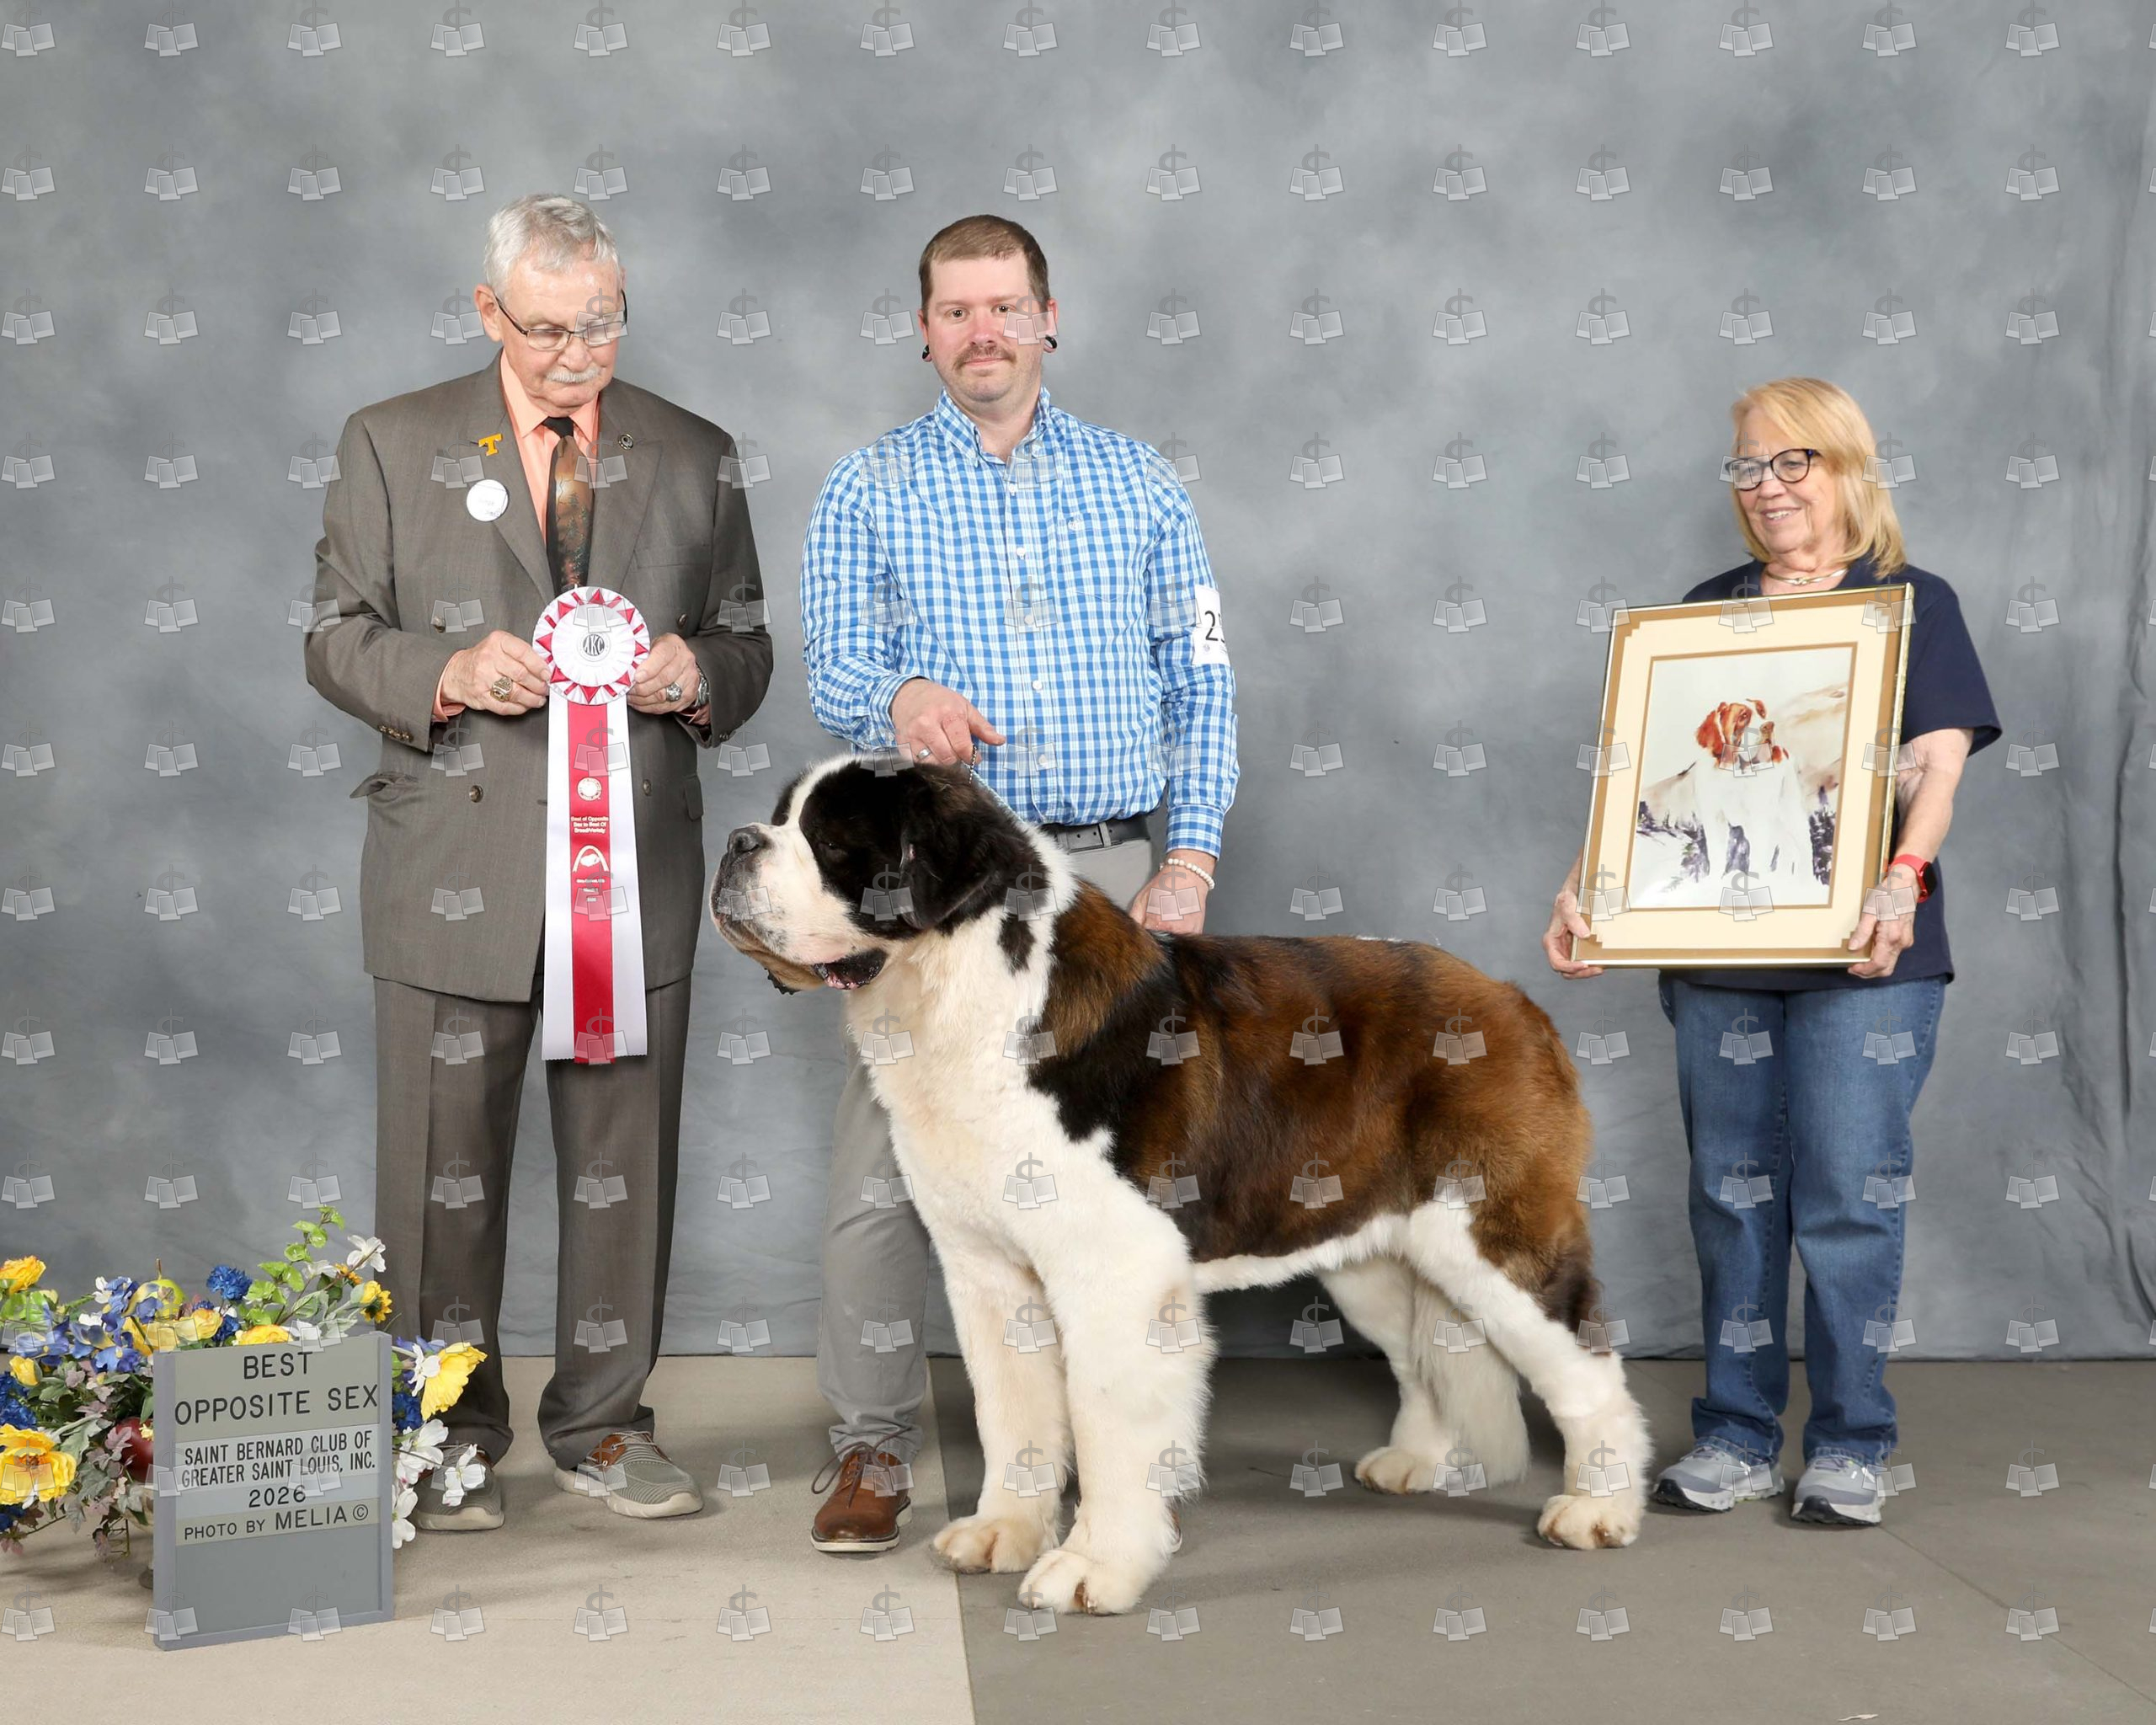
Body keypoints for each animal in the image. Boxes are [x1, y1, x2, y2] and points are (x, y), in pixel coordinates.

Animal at [711, 757, 1648, 1615]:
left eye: (834, 841)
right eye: (780, 820)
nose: (736, 842)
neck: (959, 996)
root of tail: (1511, 998)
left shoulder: (1112, 1276)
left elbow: (1105, 1421)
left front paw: (1093, 1567)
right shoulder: (986, 1271)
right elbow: (1011, 1411)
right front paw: (1004, 1531)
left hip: (1494, 1236)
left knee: (1585, 1364)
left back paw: (1600, 1506)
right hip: (1370, 1253)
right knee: (1421, 1350)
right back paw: (1420, 1459)